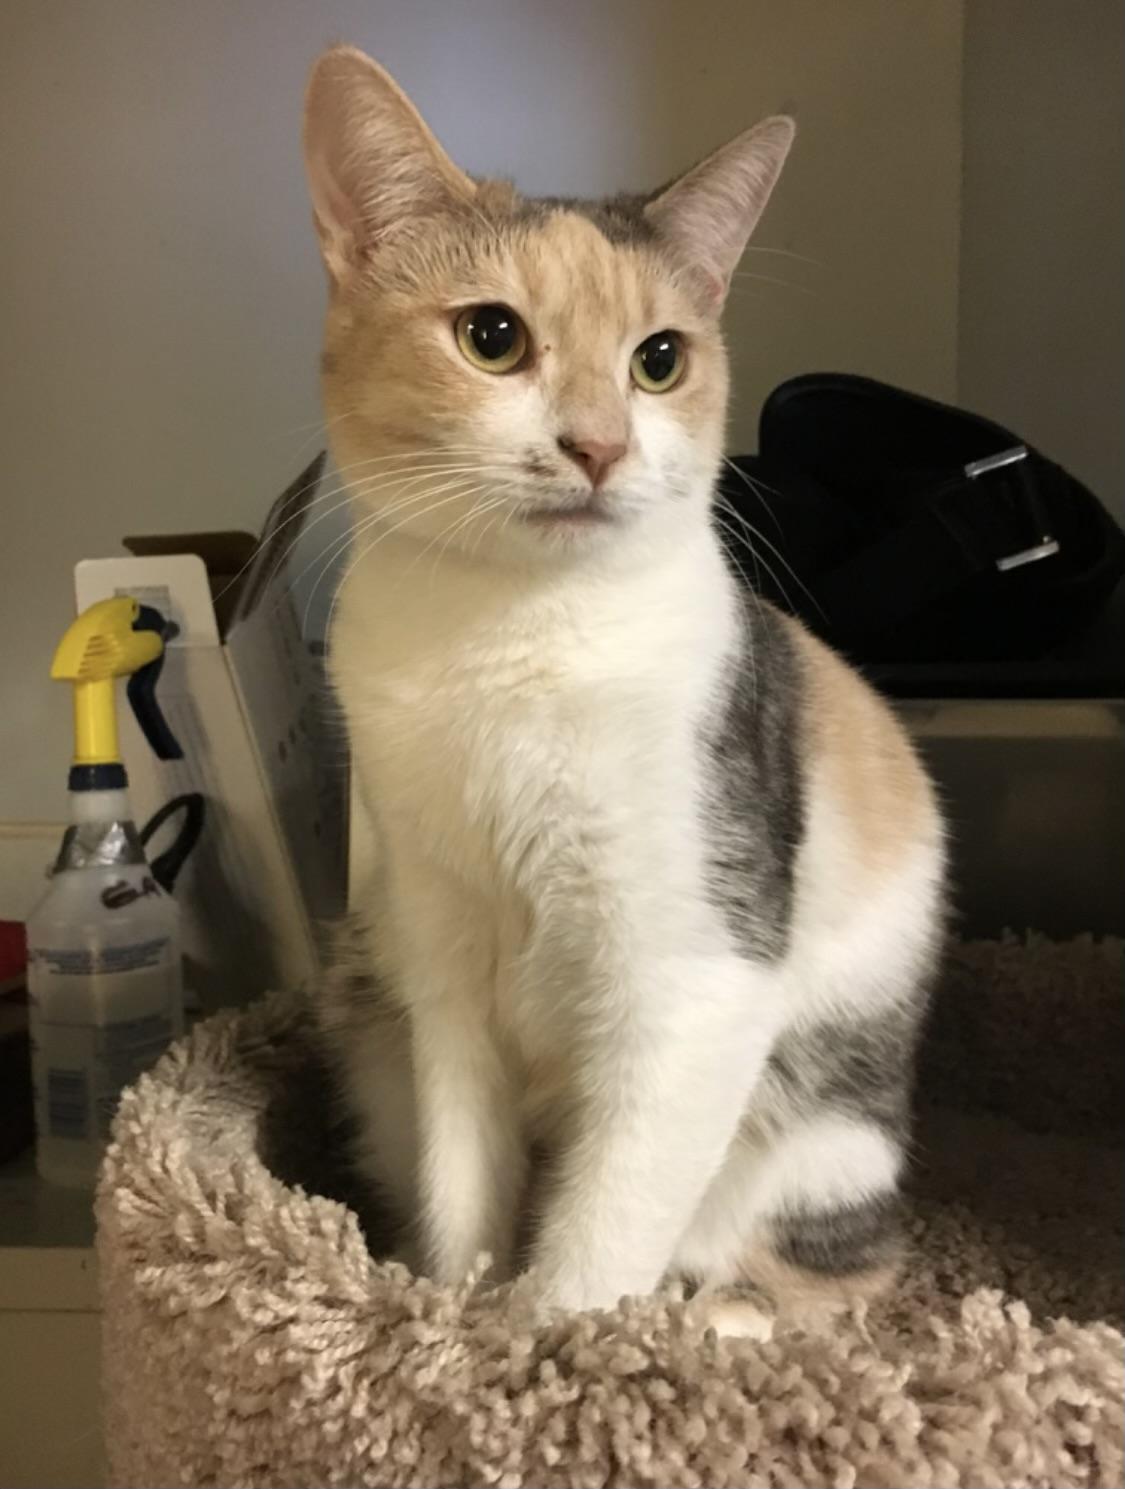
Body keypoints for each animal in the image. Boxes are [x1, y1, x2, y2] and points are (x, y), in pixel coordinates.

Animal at [304, 45, 946, 1337]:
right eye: (491, 336)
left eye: (661, 360)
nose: (598, 446)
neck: (514, 637)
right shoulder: (441, 965)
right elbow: (467, 1179)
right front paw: (449, 1317)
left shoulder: (701, 976)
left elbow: (598, 1247)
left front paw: (551, 1351)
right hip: (370, 1024)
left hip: (819, 1143)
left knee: (829, 1279)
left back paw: (722, 1324)